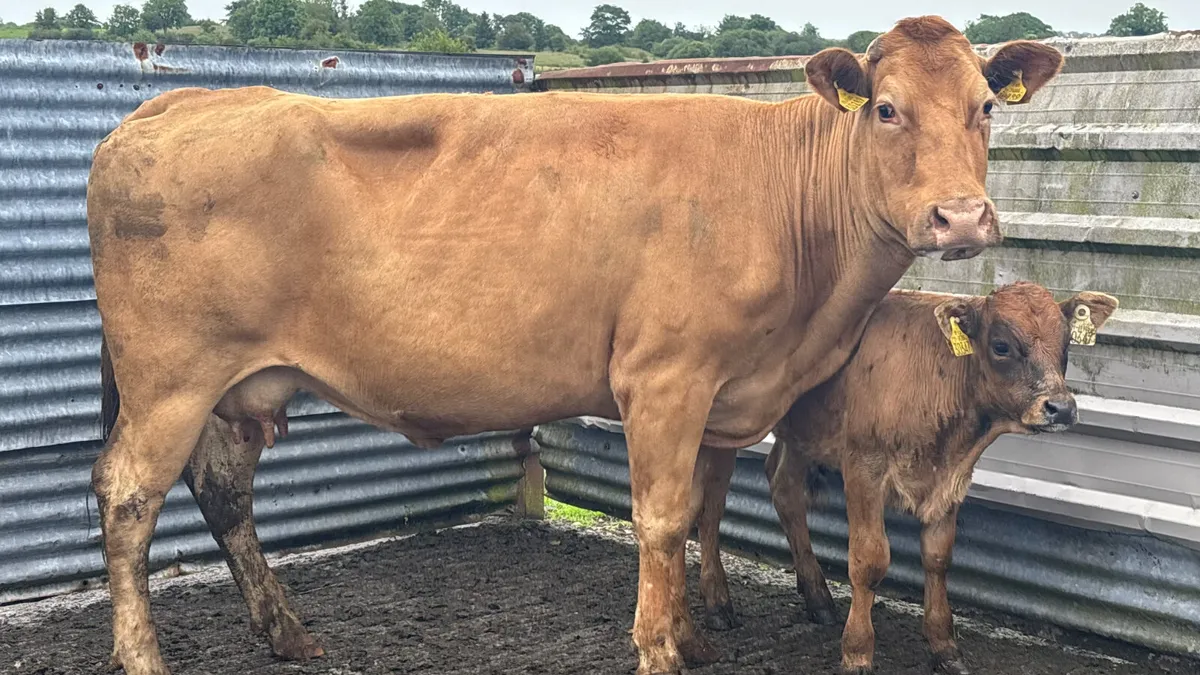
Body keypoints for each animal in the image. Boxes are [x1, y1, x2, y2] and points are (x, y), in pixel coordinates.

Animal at [84, 16, 1061, 675]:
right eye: (887, 109)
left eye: (984, 106)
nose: (961, 217)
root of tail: (182, 98)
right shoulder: (664, 377)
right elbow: (661, 519)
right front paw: (658, 647)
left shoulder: (721, 393)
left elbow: (696, 508)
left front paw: (694, 633)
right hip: (170, 380)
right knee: (128, 497)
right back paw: (144, 656)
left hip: (237, 386)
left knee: (224, 492)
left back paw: (287, 631)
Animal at [692, 283, 1118, 674]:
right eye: (1001, 345)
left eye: (1066, 343)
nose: (1060, 407)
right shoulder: (862, 470)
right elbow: (869, 562)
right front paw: (857, 652)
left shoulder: (951, 482)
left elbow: (938, 558)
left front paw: (944, 646)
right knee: (711, 508)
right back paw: (717, 603)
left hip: (801, 434)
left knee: (784, 490)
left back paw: (817, 597)